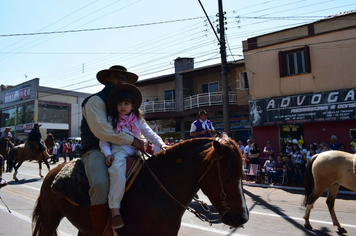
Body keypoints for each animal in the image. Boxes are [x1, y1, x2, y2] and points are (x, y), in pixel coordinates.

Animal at [32, 136, 250, 235]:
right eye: (230, 173)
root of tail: (52, 172)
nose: (242, 218)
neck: (155, 193)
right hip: (50, 221)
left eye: (242, 173)